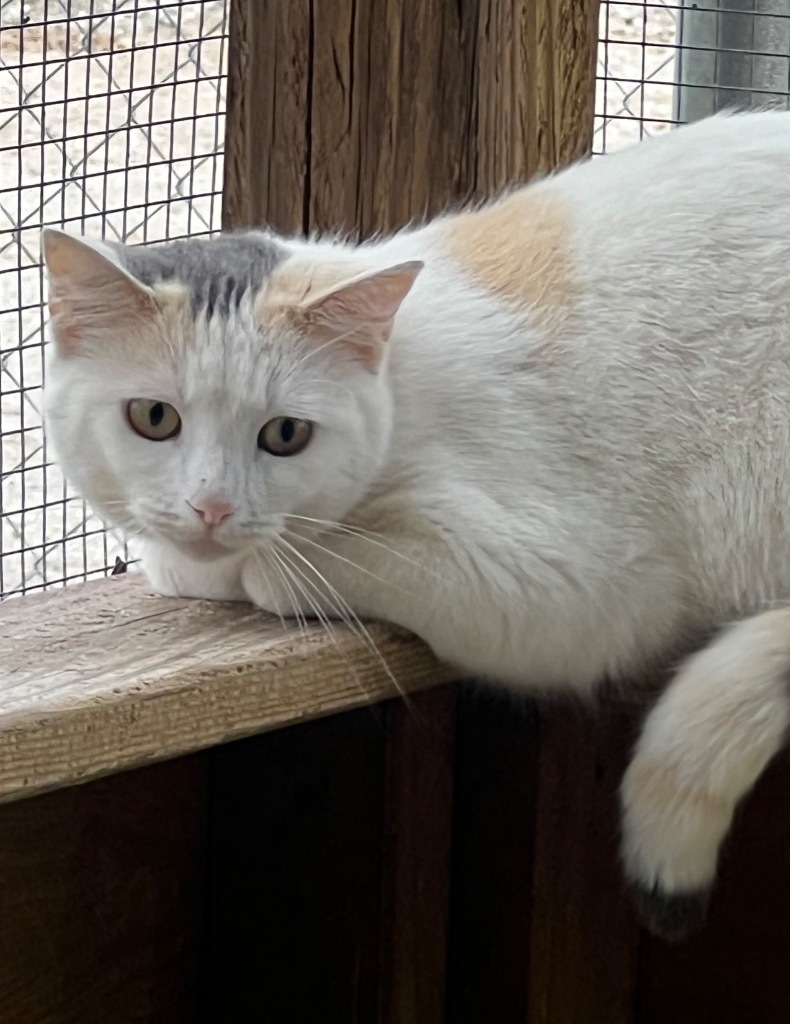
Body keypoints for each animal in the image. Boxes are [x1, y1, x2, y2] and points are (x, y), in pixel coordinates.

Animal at [41, 110, 790, 937]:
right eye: (154, 418)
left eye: (285, 435)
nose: (212, 506)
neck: (396, 383)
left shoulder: (579, 584)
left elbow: (273, 573)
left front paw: (252, 566)